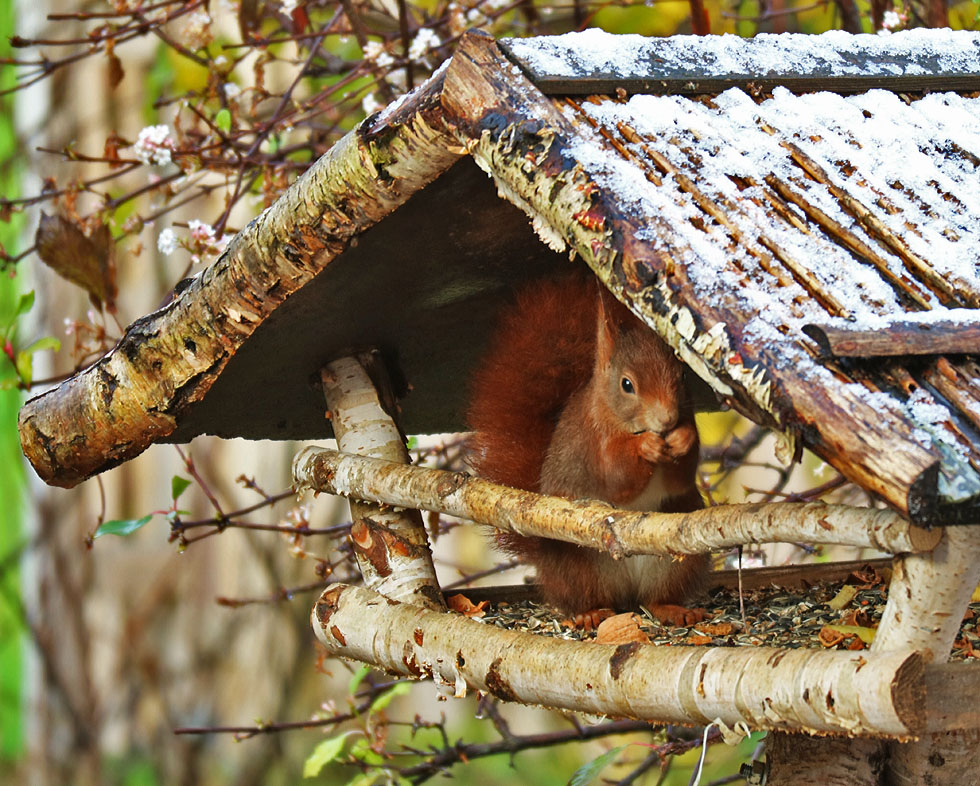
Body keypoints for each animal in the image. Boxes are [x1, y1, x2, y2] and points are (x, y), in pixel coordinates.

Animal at [468, 272, 704, 628]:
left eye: (682, 375)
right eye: (626, 384)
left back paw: (673, 609)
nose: (667, 419)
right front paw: (645, 446)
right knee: (585, 599)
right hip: (578, 569)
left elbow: (680, 481)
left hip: (676, 563)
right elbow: (617, 479)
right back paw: (591, 614)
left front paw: (683, 438)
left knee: (654, 598)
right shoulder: (596, 444)